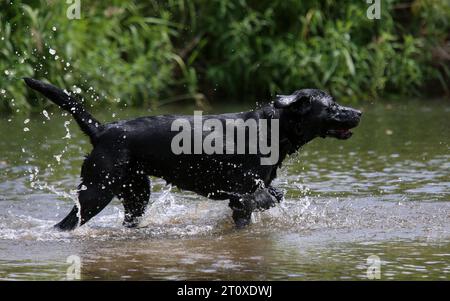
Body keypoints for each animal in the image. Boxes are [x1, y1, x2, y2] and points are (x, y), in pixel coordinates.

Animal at [23, 78, 362, 230]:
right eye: (331, 105)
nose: (358, 112)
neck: (272, 129)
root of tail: (103, 129)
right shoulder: (242, 198)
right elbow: (259, 203)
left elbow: (273, 195)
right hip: (96, 191)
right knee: (66, 224)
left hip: (136, 193)